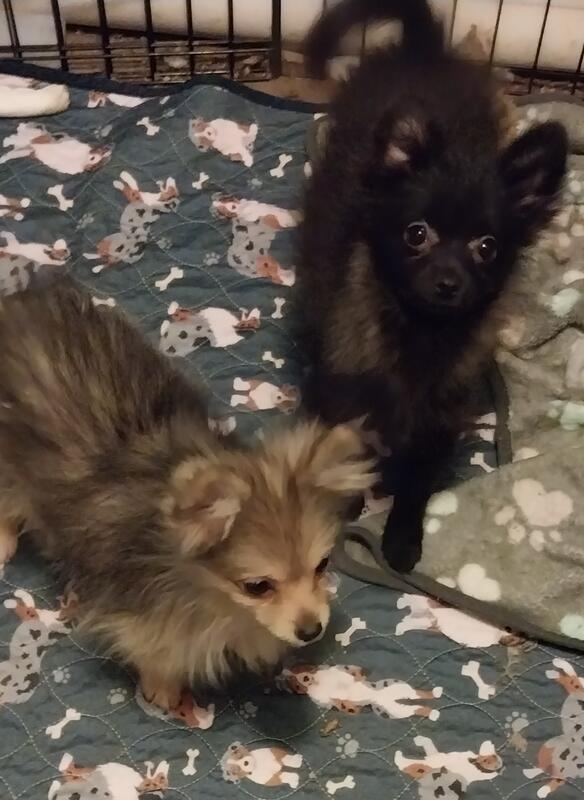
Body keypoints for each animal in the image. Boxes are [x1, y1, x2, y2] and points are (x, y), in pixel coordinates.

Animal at [0, 279, 375, 711]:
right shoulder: (143, 614)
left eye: (322, 565)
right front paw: (163, 688)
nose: (311, 629)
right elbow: (157, 649)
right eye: (257, 586)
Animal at [297, 0, 568, 573]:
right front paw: (341, 508)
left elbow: (417, 482)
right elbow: (341, 450)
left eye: (487, 247)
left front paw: (401, 539)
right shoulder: (341, 392)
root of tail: (423, 53)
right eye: (416, 234)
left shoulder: (440, 420)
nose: (448, 282)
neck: (418, 332)